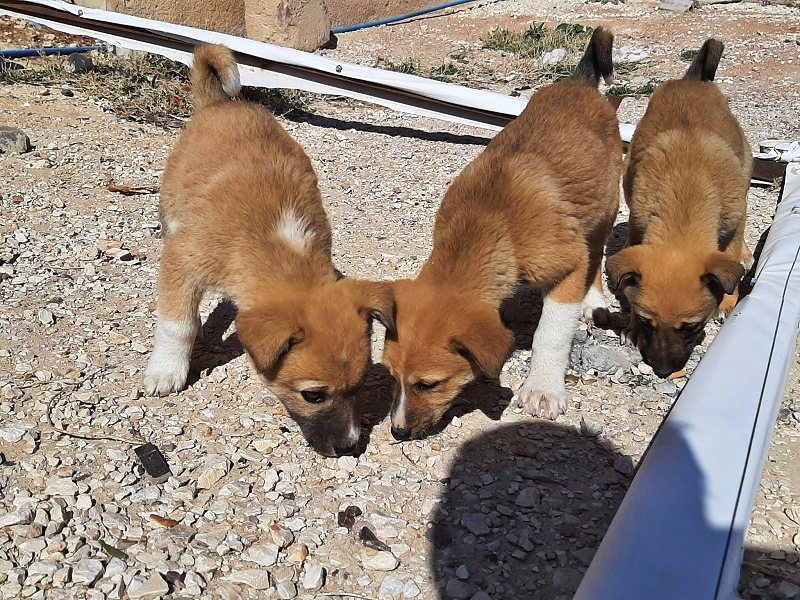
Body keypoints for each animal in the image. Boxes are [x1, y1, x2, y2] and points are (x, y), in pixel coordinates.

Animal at [145, 44, 396, 458]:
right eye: (314, 395)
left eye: (359, 386)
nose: (349, 446)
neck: (279, 242)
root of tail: (221, 103)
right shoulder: (183, 261)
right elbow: (177, 324)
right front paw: (167, 369)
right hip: (170, 203)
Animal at [382, 25, 624, 438]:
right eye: (392, 377)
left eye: (428, 384)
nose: (397, 432)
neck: (487, 222)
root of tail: (580, 83)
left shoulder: (567, 265)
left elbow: (551, 333)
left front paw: (543, 388)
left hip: (602, 211)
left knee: (597, 253)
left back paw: (593, 300)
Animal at [608, 37, 752, 378]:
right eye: (646, 321)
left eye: (691, 328)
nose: (662, 371)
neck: (684, 205)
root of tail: (693, 80)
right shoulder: (638, 222)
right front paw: (630, 326)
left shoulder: (735, 219)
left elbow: (729, 253)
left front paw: (728, 301)